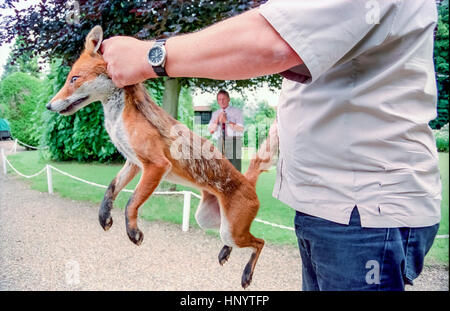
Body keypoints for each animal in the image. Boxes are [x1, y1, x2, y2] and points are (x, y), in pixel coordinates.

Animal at [46, 26, 278, 290]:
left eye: (74, 79)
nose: (48, 106)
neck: (116, 119)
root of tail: (248, 181)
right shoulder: (133, 163)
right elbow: (110, 189)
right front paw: (104, 216)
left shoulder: (156, 166)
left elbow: (131, 202)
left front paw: (133, 232)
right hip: (210, 221)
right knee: (240, 241)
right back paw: (225, 252)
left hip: (231, 229)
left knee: (260, 241)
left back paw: (247, 274)